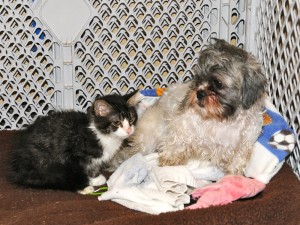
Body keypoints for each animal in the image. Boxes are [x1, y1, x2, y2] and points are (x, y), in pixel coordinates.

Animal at [7, 91, 138, 193]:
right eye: (116, 122)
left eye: (131, 119)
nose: (129, 130)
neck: (102, 135)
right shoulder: (73, 155)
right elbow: (79, 171)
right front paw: (85, 184)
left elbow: (93, 167)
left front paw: (94, 178)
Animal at [108, 38, 268, 175]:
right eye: (199, 78)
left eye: (218, 83)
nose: (199, 93)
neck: (223, 119)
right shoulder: (182, 127)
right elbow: (176, 145)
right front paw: (169, 161)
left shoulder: (245, 142)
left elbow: (239, 157)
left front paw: (233, 173)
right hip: (146, 140)